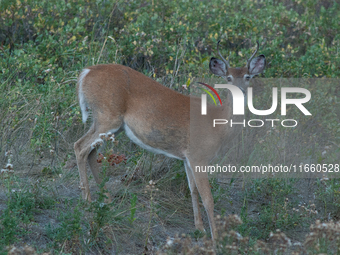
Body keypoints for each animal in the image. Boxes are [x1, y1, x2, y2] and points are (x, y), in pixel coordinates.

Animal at [74, 39, 266, 239]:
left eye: (248, 76)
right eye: (228, 78)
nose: (240, 92)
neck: (217, 124)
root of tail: (85, 73)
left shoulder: (188, 158)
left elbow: (193, 190)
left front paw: (200, 228)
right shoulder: (198, 156)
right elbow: (208, 198)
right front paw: (215, 237)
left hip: (112, 125)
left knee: (91, 151)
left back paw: (107, 199)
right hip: (107, 116)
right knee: (80, 146)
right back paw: (87, 201)